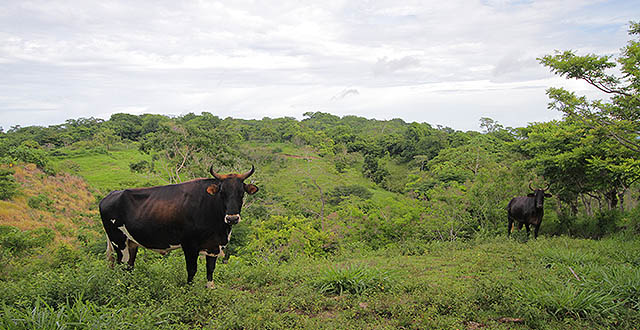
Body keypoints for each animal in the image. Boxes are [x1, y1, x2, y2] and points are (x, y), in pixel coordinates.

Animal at [99, 164, 258, 286]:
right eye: (222, 193)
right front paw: (189, 292)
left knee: (129, 266)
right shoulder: (189, 244)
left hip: (131, 243)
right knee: (122, 265)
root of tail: (110, 195)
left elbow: (210, 270)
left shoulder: (214, 245)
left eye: (241, 193)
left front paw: (209, 290)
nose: (232, 218)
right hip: (119, 241)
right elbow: (192, 270)